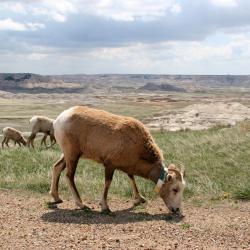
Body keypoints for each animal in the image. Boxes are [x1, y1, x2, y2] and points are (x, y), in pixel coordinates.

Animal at [49, 106, 186, 214]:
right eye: (175, 189)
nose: (176, 210)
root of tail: (59, 120)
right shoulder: (109, 165)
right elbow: (108, 183)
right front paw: (105, 207)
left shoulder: (128, 166)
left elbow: (131, 178)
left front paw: (140, 199)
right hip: (72, 155)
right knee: (69, 176)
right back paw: (82, 205)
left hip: (67, 155)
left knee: (57, 167)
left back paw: (57, 198)